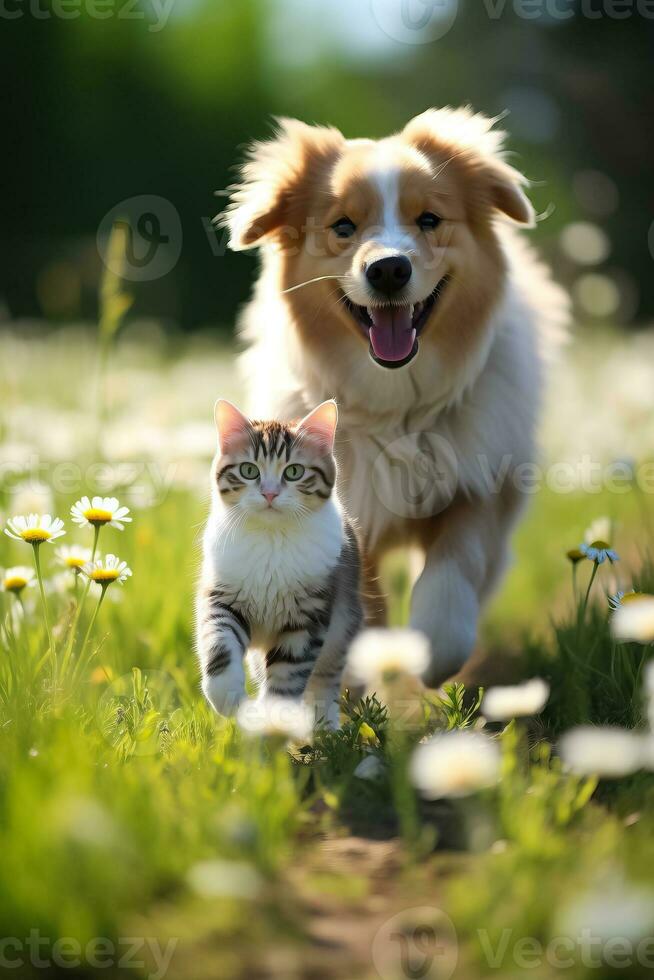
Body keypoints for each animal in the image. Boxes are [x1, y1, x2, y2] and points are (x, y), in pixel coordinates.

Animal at [197, 398, 366, 728]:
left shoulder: (308, 619)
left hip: (342, 631)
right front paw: (227, 696)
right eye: (249, 470)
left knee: (324, 683)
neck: (271, 538)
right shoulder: (223, 596)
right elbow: (218, 640)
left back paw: (327, 730)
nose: (270, 493)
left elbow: (288, 677)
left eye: (294, 471)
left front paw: (273, 722)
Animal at [220, 107, 568, 684]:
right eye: (343, 226)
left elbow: (455, 569)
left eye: (429, 219)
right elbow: (359, 601)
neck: (395, 405)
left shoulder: (482, 480)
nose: (387, 268)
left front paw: (432, 650)